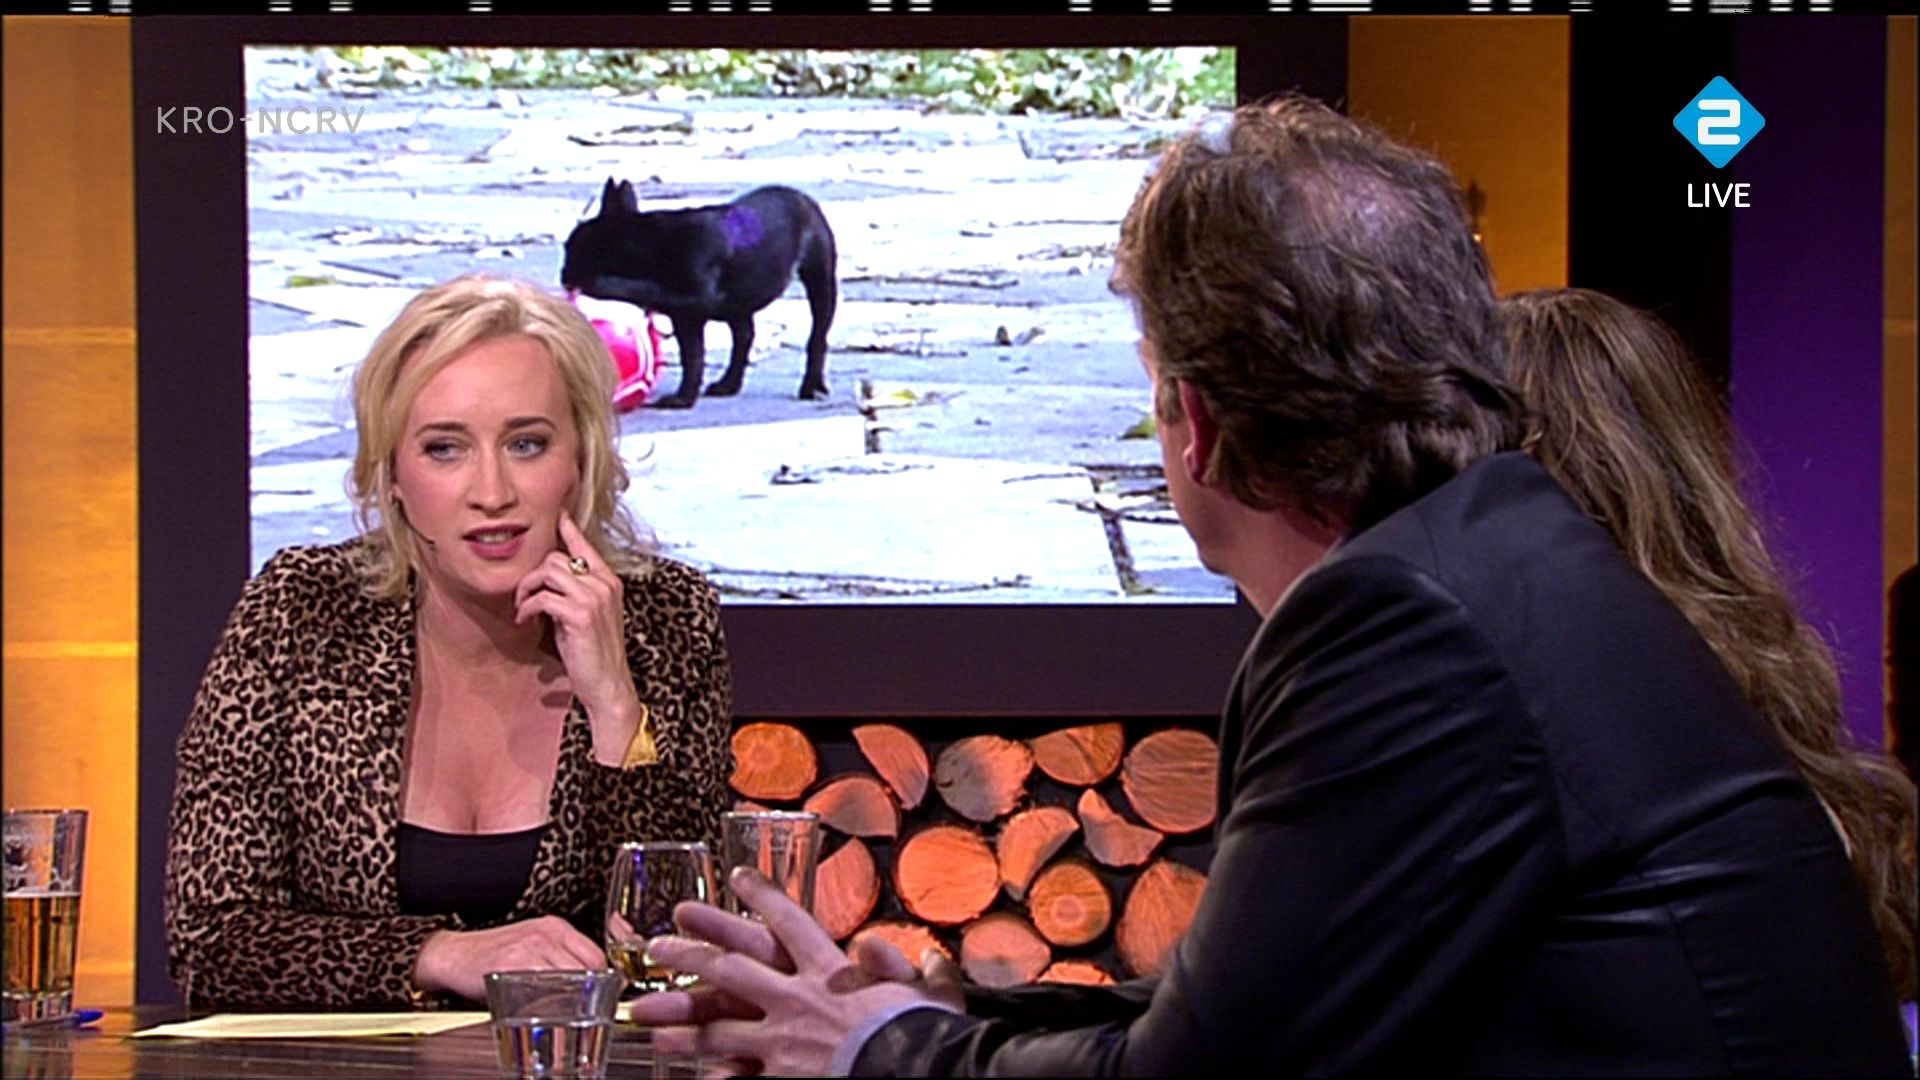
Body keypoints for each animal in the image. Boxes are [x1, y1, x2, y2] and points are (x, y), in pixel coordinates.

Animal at [561, 179, 837, 408]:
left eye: (573, 250)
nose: (563, 273)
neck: (651, 241)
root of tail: (801, 197)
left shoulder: (692, 301)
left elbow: (690, 353)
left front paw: (682, 399)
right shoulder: (685, 318)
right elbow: (691, 354)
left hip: (820, 280)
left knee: (818, 335)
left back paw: (811, 385)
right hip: (737, 305)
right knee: (744, 336)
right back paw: (729, 384)